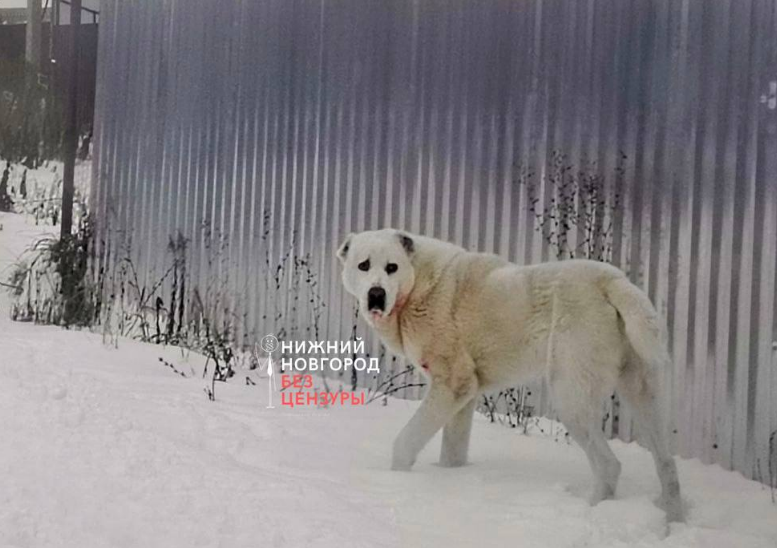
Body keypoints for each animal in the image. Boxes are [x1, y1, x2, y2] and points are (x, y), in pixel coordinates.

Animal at [336, 228, 684, 524]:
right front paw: (450, 478)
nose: (376, 294)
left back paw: (592, 513)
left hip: (571, 398)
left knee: (610, 465)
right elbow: (453, 449)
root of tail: (610, 280)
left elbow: (406, 440)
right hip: (643, 391)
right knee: (666, 463)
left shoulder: (452, 385)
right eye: (364, 265)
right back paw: (673, 518)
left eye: (392, 267)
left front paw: (396, 478)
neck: (418, 286)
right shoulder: (465, 395)